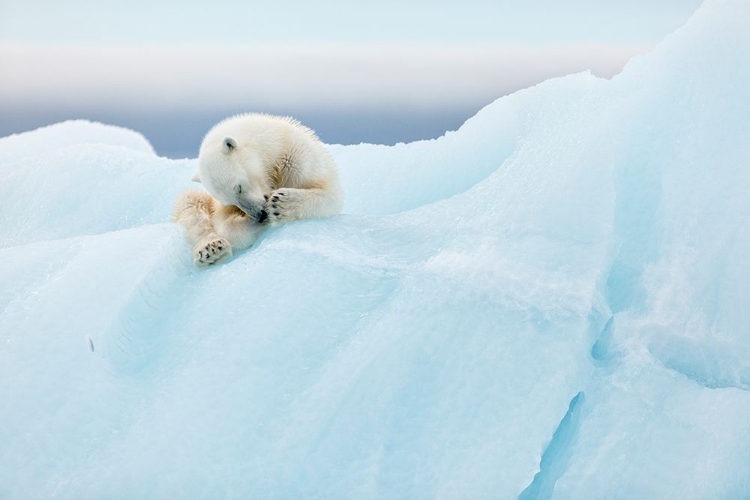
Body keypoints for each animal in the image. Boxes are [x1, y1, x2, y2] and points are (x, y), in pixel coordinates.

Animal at [173, 114, 344, 268]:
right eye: (230, 201)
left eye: (239, 187)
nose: (260, 215)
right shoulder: (219, 206)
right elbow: (223, 223)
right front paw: (257, 223)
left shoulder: (298, 159)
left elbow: (331, 195)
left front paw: (281, 203)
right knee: (190, 202)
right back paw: (211, 250)